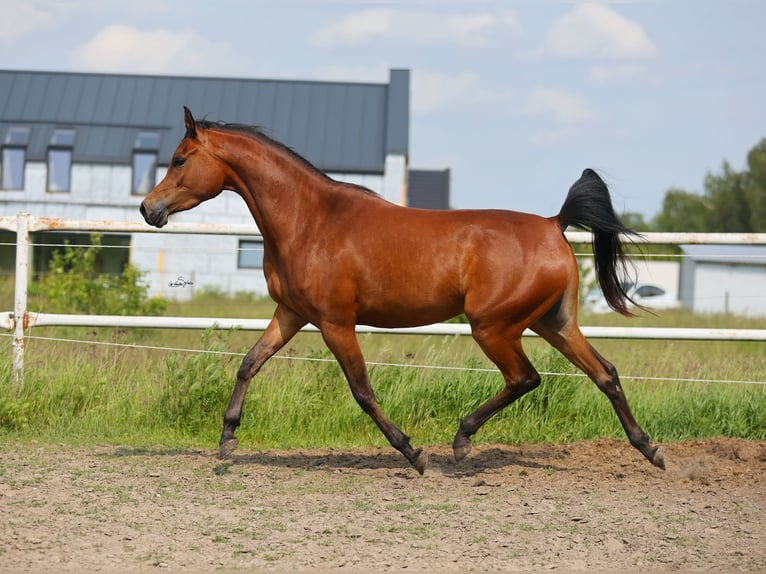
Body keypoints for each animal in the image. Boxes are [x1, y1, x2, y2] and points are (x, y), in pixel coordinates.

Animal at [140, 107, 666, 475]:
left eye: (179, 159)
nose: (149, 209)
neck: (310, 220)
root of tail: (554, 224)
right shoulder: (291, 313)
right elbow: (249, 363)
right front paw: (228, 439)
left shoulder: (335, 322)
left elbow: (362, 390)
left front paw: (413, 453)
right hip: (552, 322)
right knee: (605, 373)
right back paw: (650, 449)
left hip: (494, 327)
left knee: (526, 378)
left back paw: (461, 441)